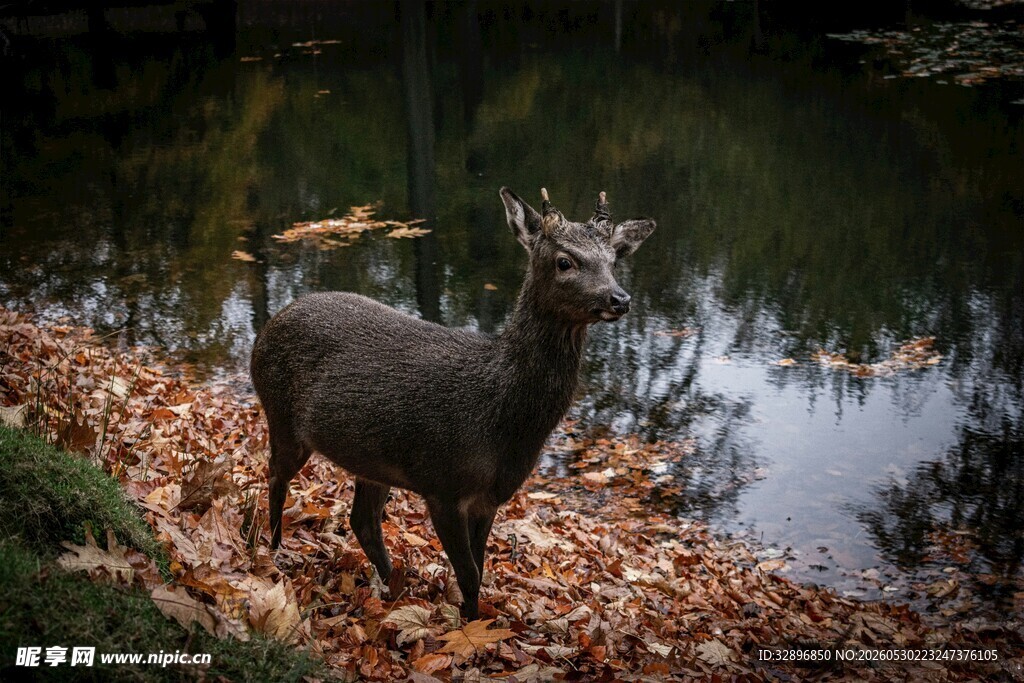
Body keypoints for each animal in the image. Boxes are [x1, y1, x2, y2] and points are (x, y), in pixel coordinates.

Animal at [250, 187, 655, 620]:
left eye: (614, 260)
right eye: (565, 261)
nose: (619, 299)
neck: (500, 418)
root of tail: (266, 330)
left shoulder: (490, 498)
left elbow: (479, 569)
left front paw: (472, 618)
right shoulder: (441, 485)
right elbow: (469, 573)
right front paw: (469, 626)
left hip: (369, 459)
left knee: (363, 521)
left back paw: (394, 584)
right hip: (281, 416)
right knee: (275, 477)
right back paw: (274, 551)